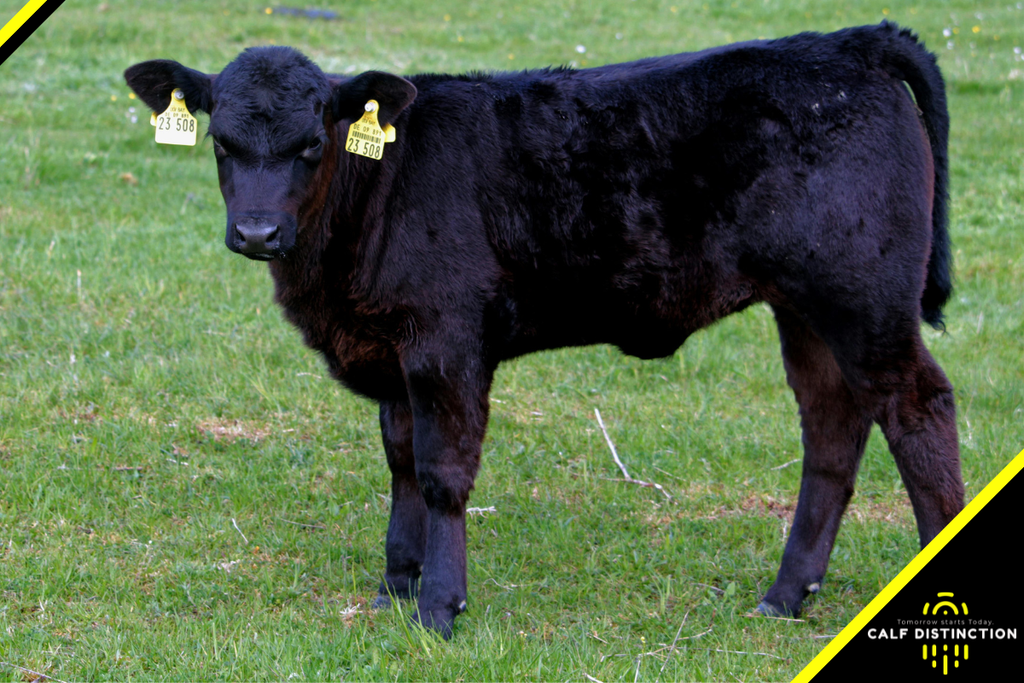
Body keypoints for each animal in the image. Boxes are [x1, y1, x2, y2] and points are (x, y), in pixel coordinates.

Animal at [125, 22, 963, 639]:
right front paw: (397, 584)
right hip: (807, 310)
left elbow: (442, 470)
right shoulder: (391, 347)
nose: (257, 232)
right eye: (222, 143)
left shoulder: (447, 340)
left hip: (863, 299)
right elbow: (400, 461)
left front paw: (440, 604)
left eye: (310, 143)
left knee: (918, 410)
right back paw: (786, 594)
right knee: (832, 431)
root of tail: (849, 40)